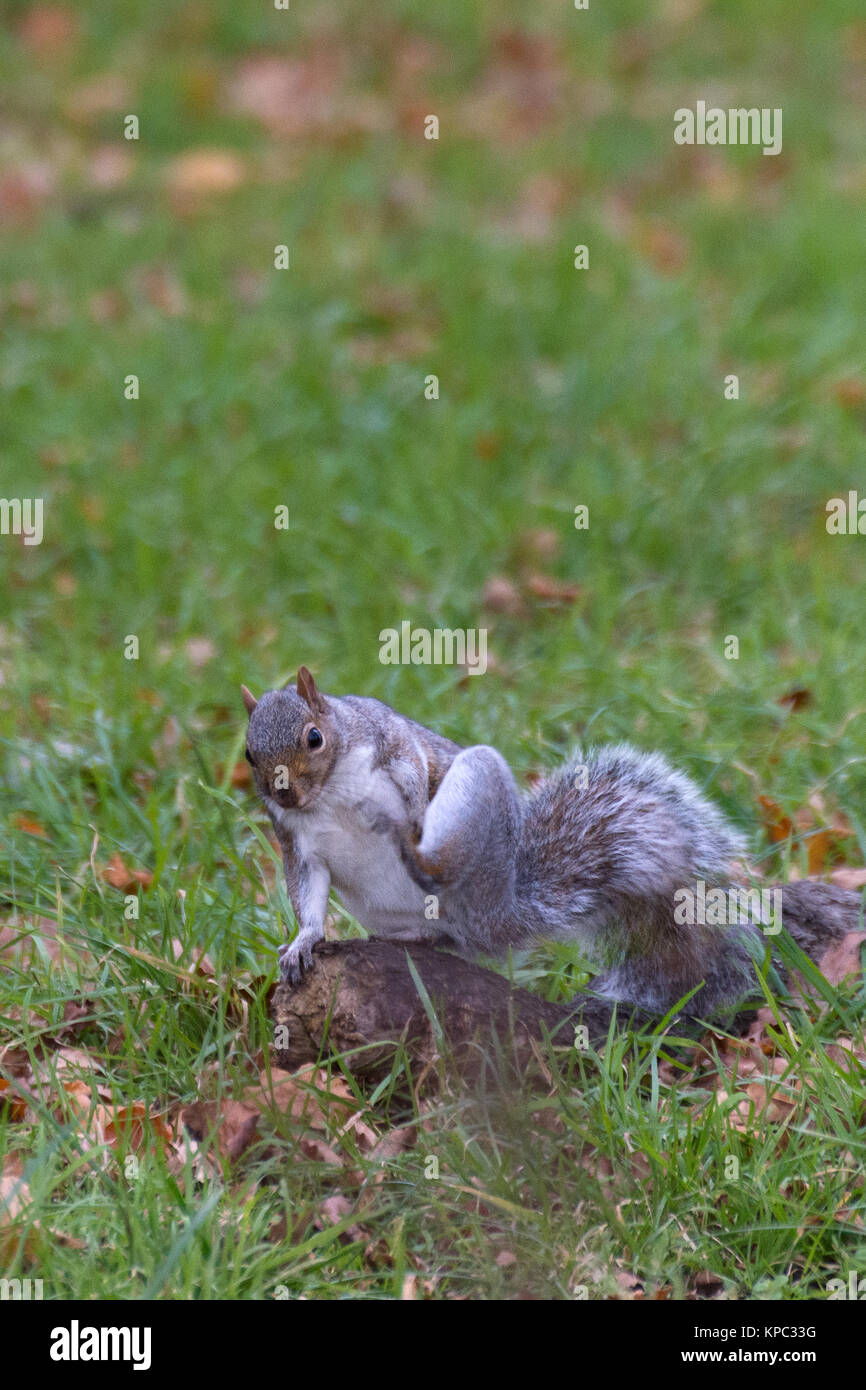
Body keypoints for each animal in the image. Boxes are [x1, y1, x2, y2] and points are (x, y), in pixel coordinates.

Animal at [240, 667, 861, 1028]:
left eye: (314, 738)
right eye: (248, 753)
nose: (284, 791)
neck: (327, 793)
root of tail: (507, 906)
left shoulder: (391, 742)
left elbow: (415, 773)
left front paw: (411, 815)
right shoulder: (296, 840)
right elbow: (307, 893)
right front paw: (304, 942)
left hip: (479, 810)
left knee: (452, 913)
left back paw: (418, 857)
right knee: (455, 941)